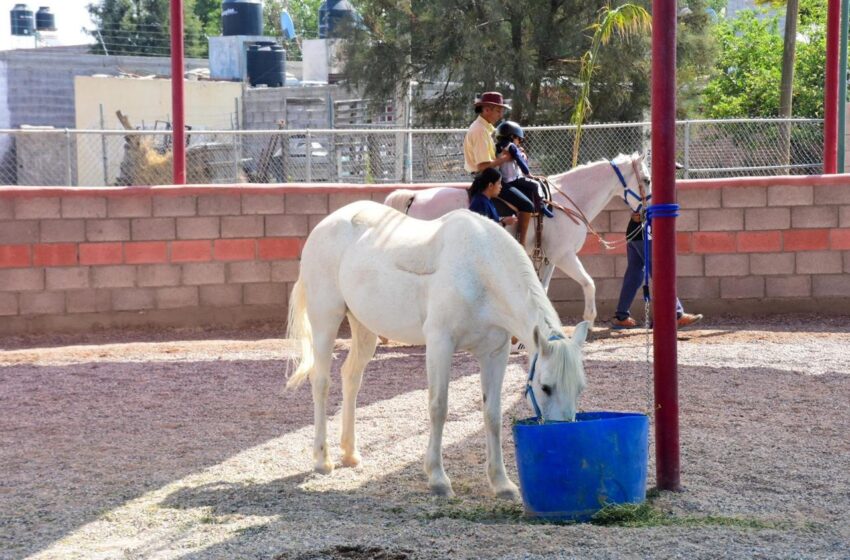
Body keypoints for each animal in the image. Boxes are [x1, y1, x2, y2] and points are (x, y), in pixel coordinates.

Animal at [288, 201, 588, 498]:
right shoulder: (440, 343)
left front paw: (502, 483)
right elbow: (438, 407)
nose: (564, 435)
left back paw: (350, 453)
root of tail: (326, 224)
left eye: (580, 388)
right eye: (546, 387)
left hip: (364, 327)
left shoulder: (495, 353)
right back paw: (322, 460)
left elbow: (492, 414)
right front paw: (438, 478)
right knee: (321, 382)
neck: (479, 269)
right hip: (325, 320)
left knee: (351, 378)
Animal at [384, 153, 648, 328]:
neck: (565, 201)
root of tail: (415, 196)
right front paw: (589, 320)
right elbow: (589, 283)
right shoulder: (564, 256)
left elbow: (543, 290)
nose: (646, 210)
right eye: (645, 179)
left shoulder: (550, 258)